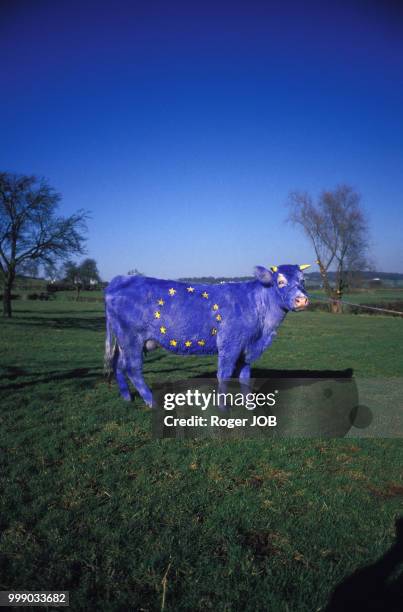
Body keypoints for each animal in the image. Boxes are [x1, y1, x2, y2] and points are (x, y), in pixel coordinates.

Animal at [105, 264, 312, 406]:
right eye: (281, 281)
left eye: (303, 281)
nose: (302, 300)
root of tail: (119, 280)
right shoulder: (230, 343)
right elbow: (224, 374)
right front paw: (223, 407)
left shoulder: (247, 348)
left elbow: (245, 375)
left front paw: (249, 405)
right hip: (131, 338)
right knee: (132, 369)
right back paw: (151, 402)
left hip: (125, 342)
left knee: (119, 365)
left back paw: (127, 398)